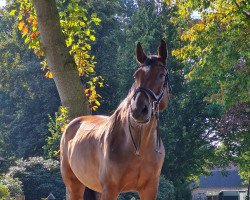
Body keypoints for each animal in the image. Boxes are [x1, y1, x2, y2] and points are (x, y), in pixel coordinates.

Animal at [60, 39, 170, 199]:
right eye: (136, 75)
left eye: (161, 75)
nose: (138, 110)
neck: (138, 149)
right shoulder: (110, 189)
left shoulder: (149, 189)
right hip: (74, 186)